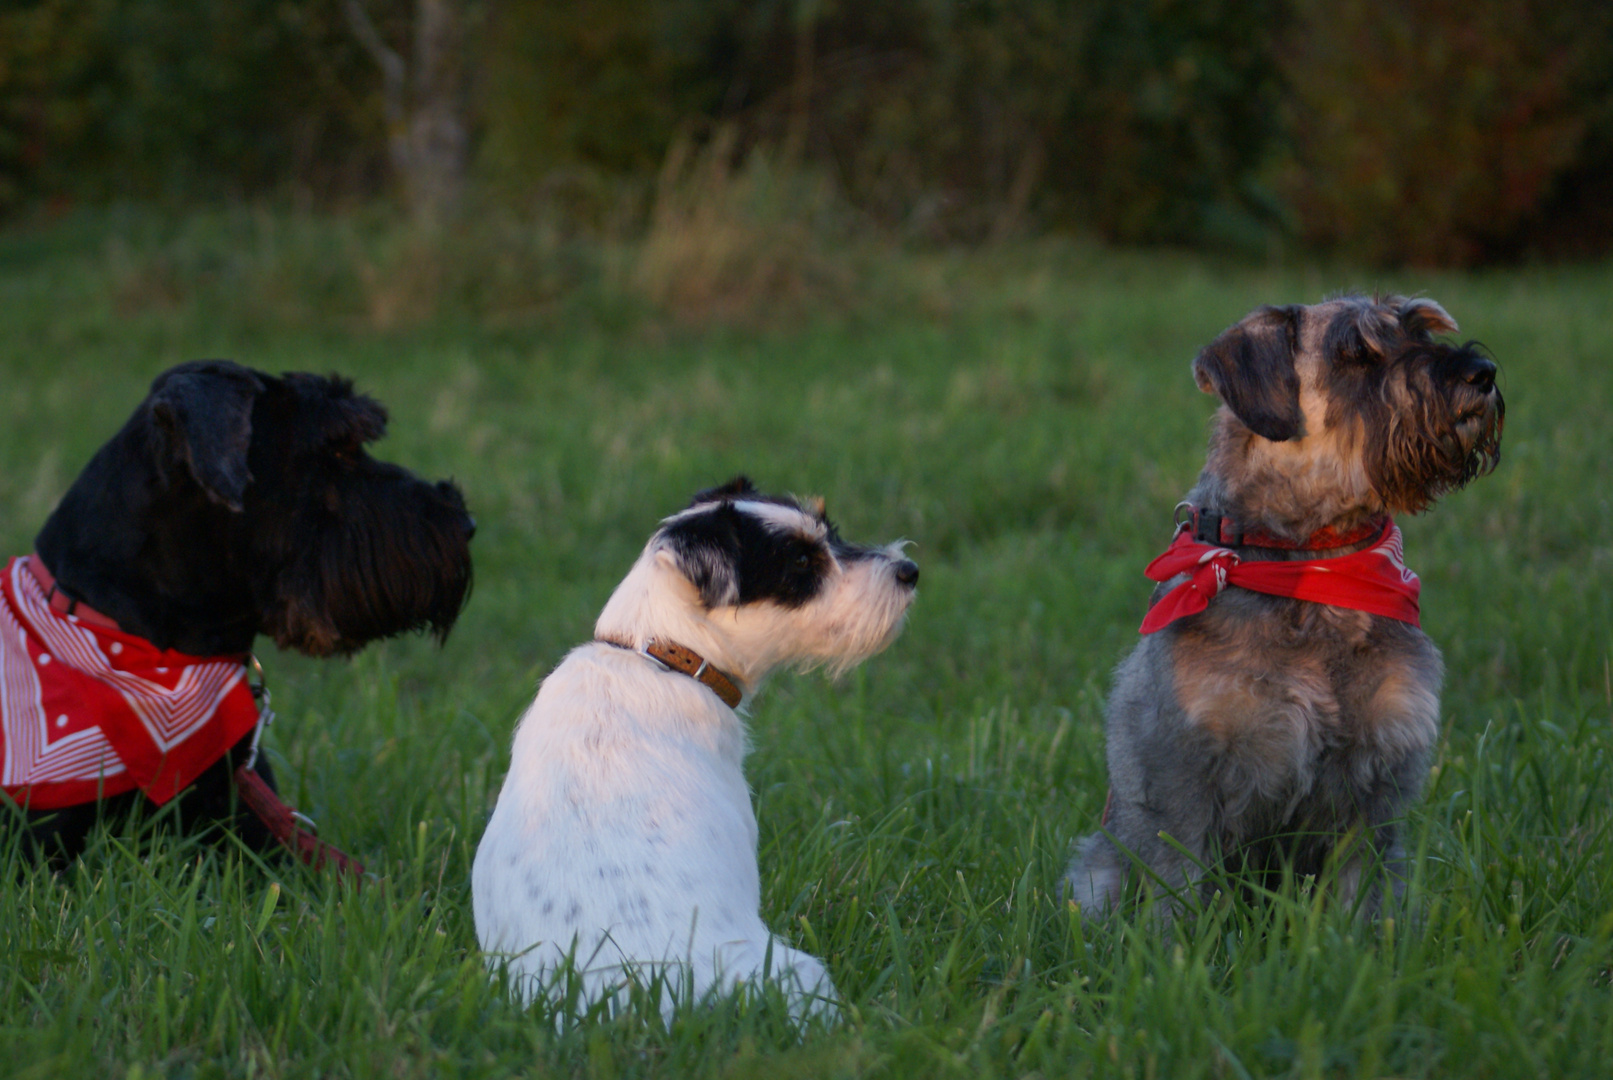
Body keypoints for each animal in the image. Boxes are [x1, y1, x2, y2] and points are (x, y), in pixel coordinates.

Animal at [1064, 296, 1503, 922]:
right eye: (1355, 352)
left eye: (1422, 327)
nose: (1480, 373)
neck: (1310, 569)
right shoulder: (1185, 780)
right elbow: (1180, 891)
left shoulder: (1376, 779)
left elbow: (1365, 898)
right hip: (1098, 874)